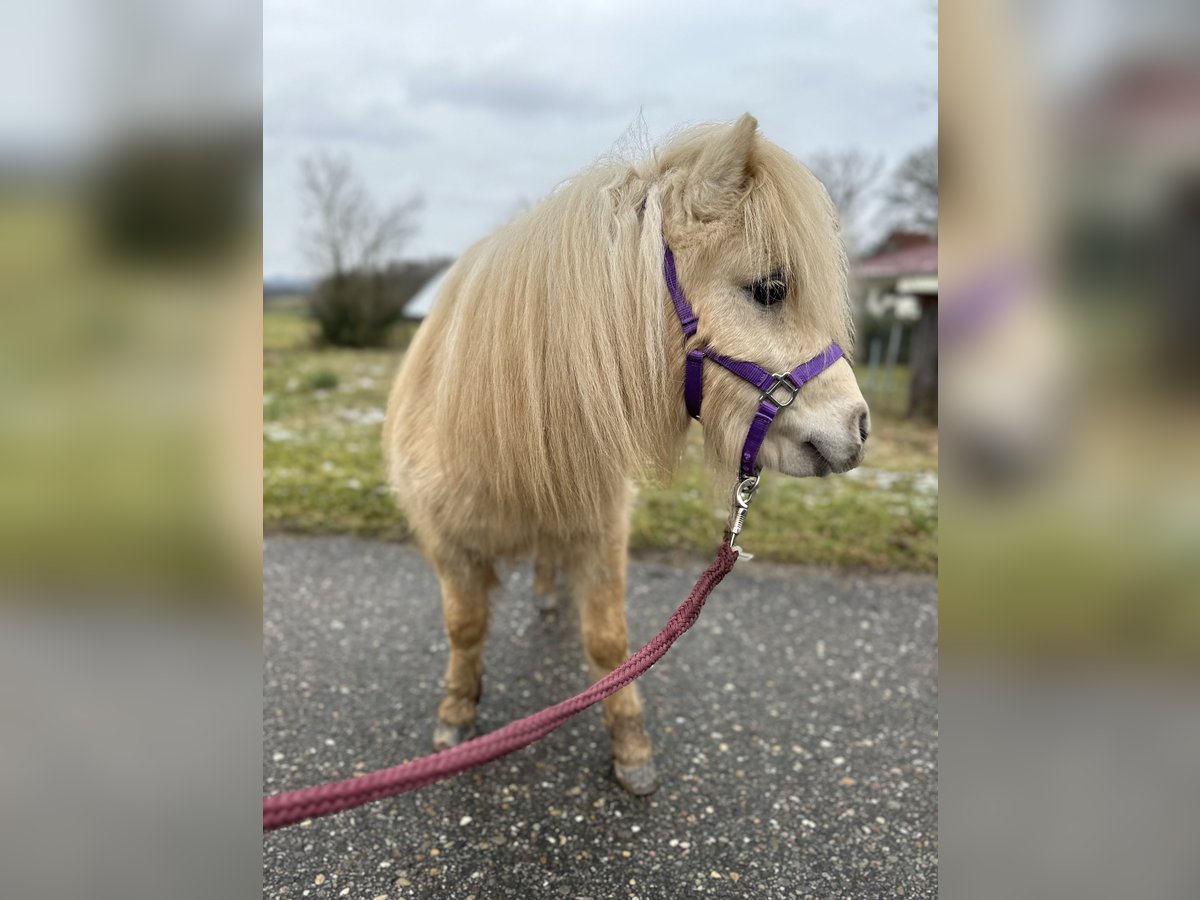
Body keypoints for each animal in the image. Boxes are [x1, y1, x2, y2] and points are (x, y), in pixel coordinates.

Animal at [388, 114, 868, 796]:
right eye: (770, 289)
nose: (858, 427)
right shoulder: (447, 543)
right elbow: (465, 628)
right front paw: (455, 713)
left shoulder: (599, 531)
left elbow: (609, 643)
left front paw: (630, 746)